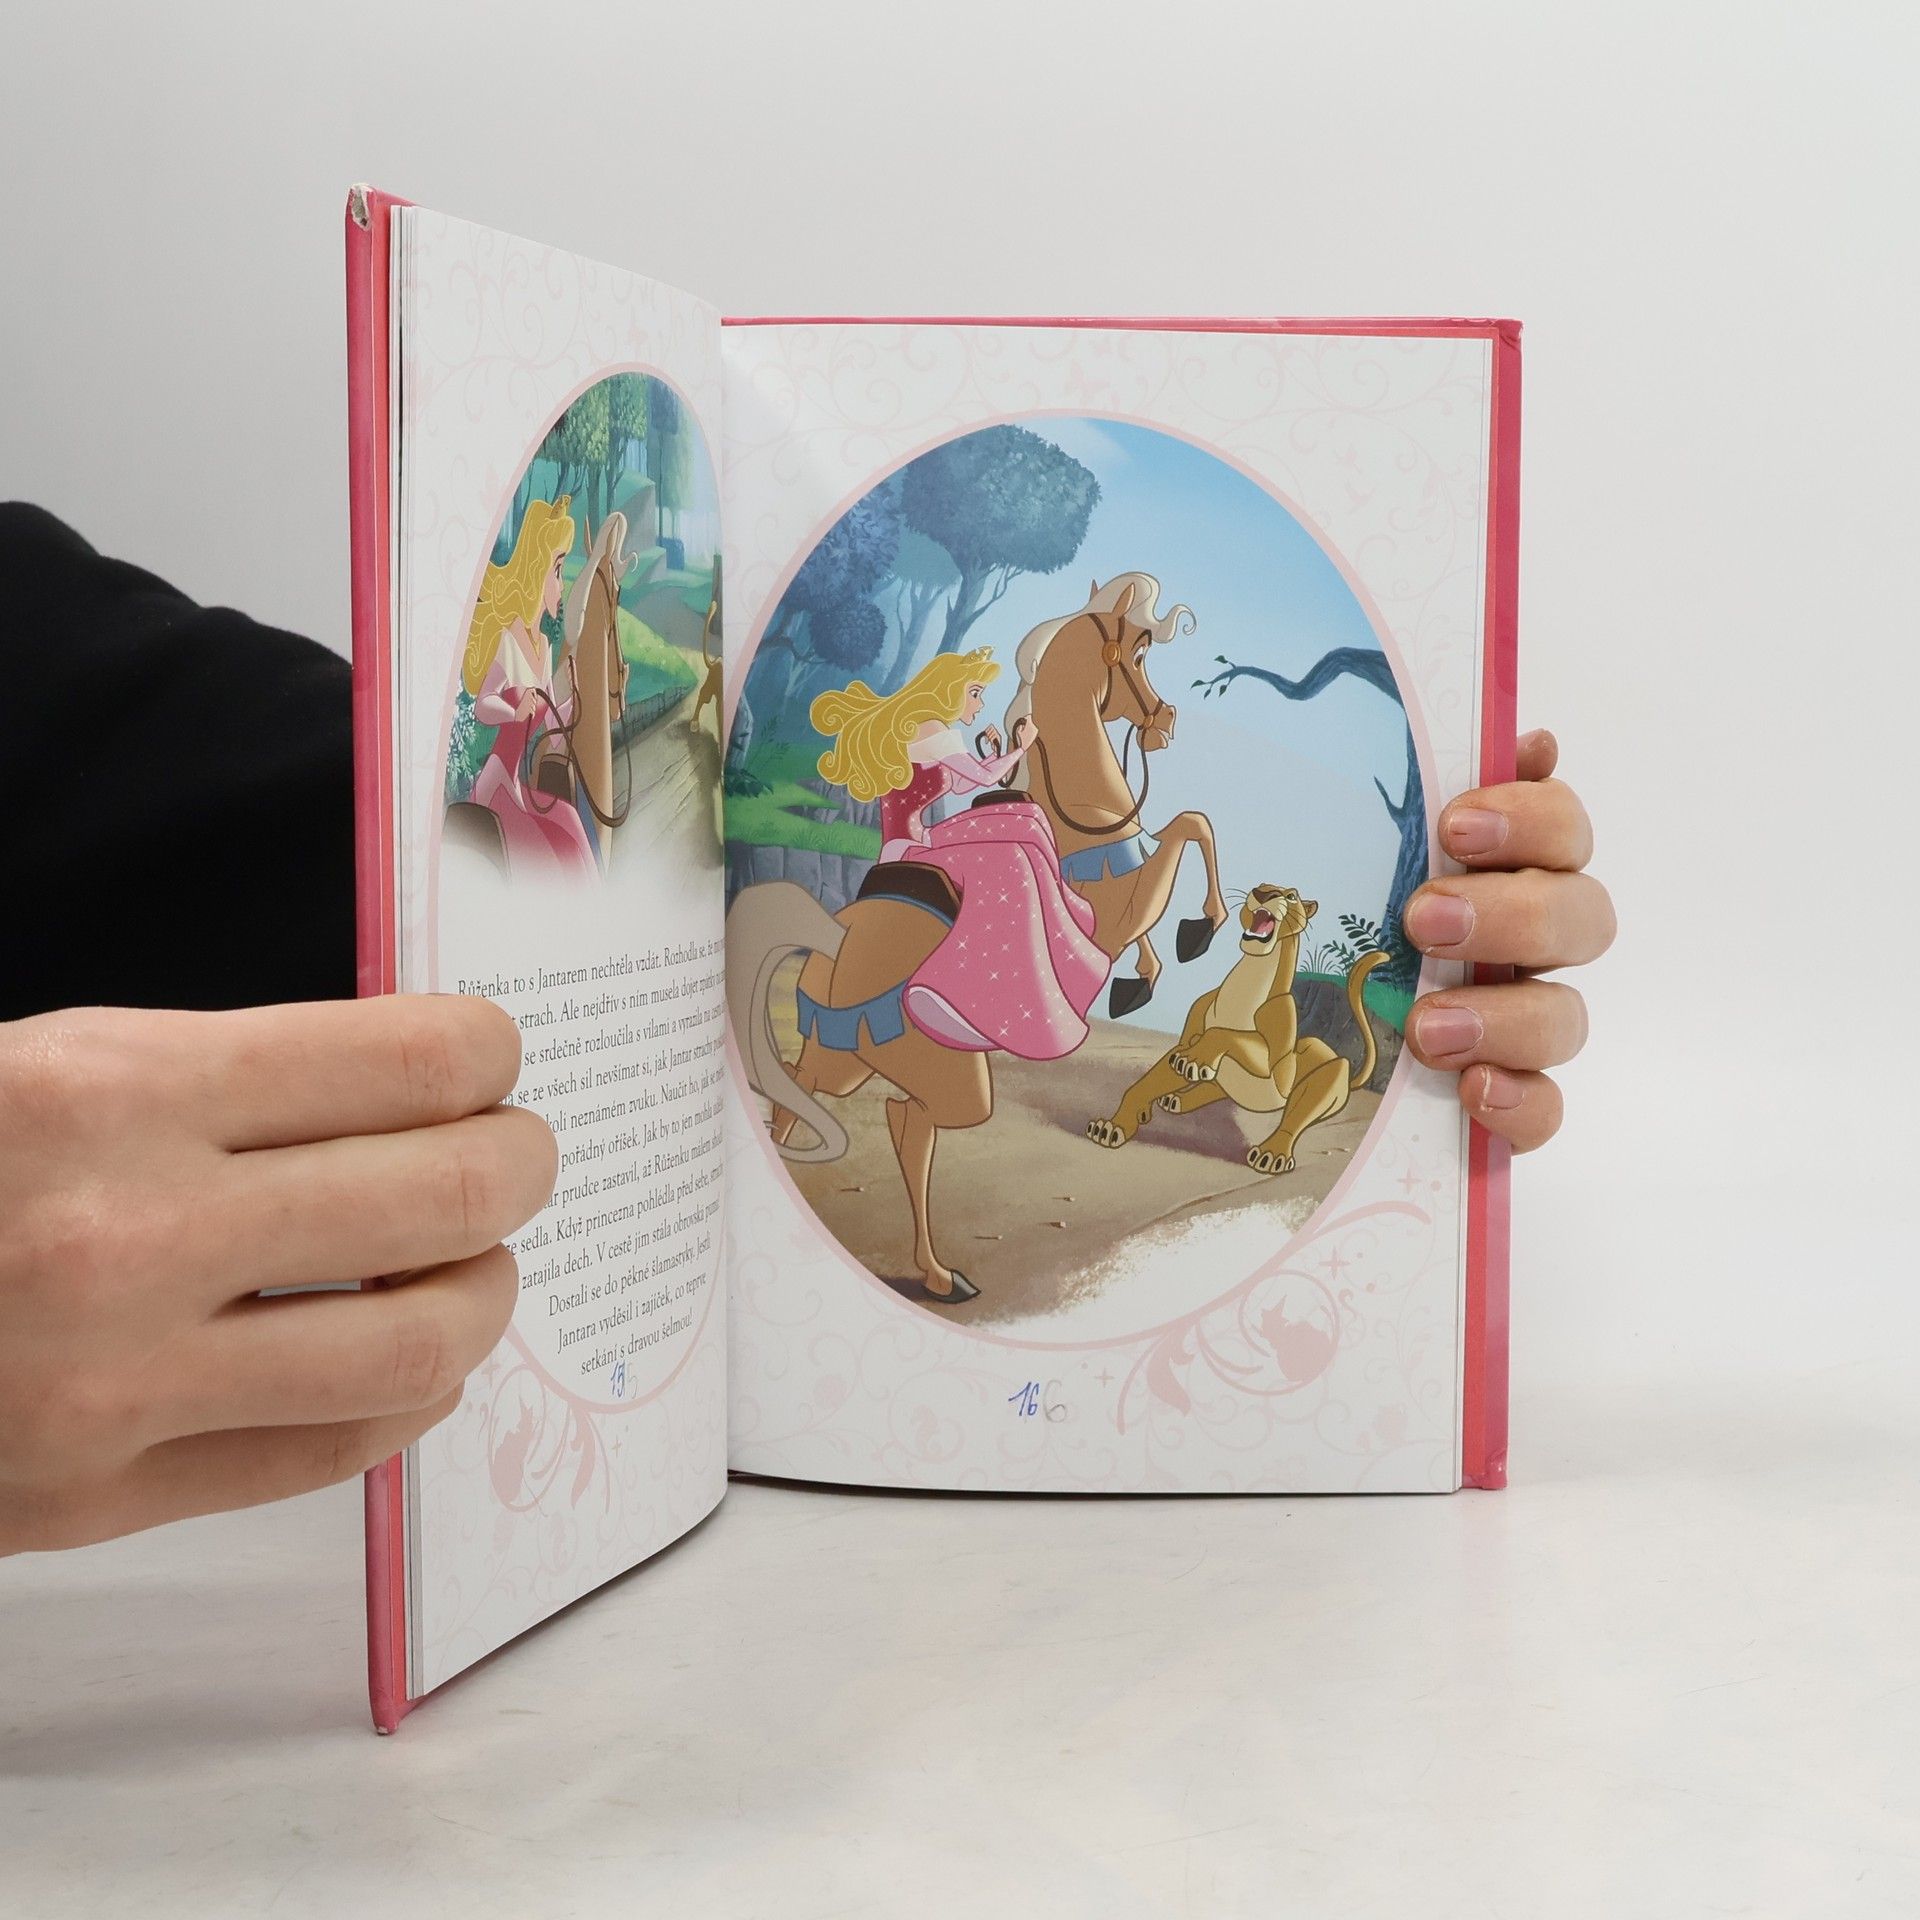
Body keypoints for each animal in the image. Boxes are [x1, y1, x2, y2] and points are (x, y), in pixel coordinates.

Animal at [1004, 574, 1227, 1017]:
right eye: (1139, 656)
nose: (1168, 719)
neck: (1086, 806)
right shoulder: (1126, 903)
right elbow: (1192, 825)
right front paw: (1200, 930)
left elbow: (1194, 823)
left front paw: (1139, 981)